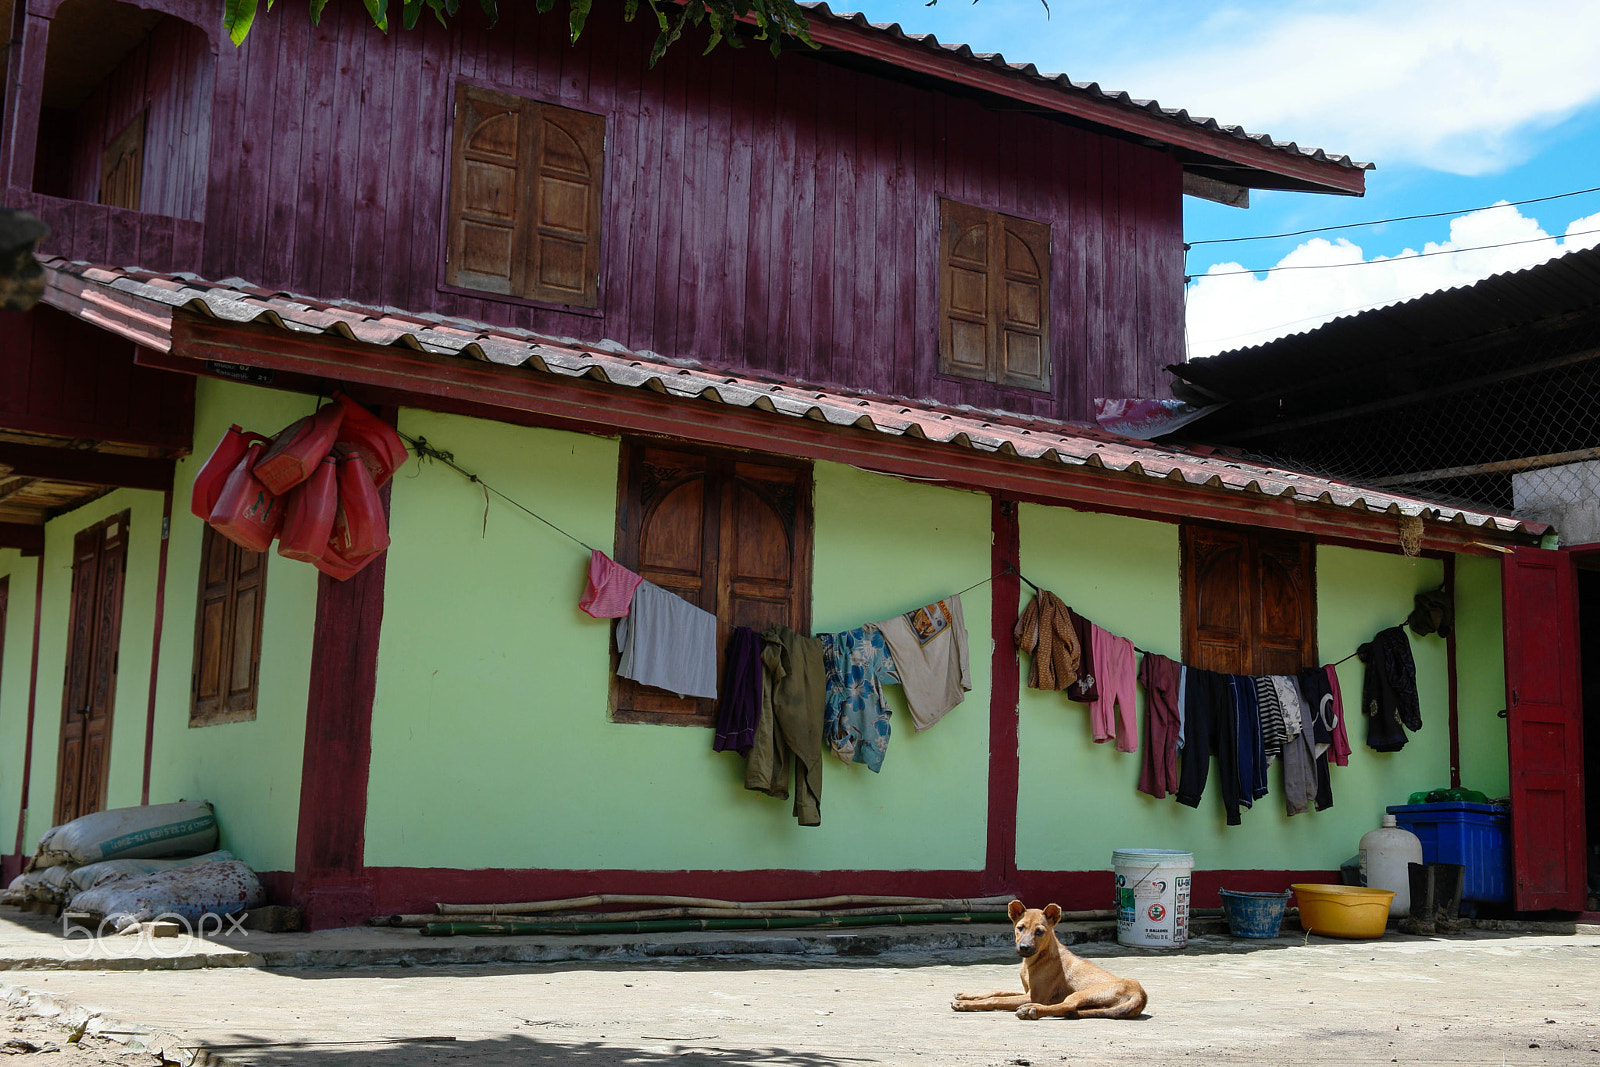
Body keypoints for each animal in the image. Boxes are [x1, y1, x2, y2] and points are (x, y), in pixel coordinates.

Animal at [947, 895, 1152, 1023]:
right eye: (1020, 928)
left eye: (1040, 931)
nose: (1024, 948)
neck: (1036, 959)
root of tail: (1141, 994)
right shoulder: (1028, 990)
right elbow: (996, 991)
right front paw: (967, 995)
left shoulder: (1034, 995)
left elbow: (995, 1000)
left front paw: (966, 1004)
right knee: (1069, 1009)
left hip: (1083, 993)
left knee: (1067, 1005)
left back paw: (1031, 1011)